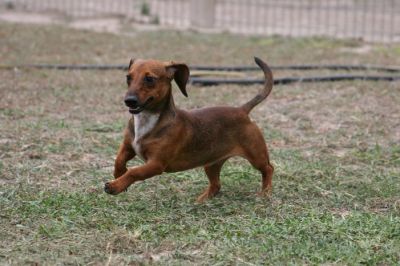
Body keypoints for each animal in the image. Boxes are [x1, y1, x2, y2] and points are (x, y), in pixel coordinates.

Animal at [104, 56, 276, 202]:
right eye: (128, 77)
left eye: (149, 79)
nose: (129, 101)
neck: (148, 120)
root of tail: (242, 110)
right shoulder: (129, 147)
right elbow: (119, 159)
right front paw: (118, 174)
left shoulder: (156, 164)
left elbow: (134, 172)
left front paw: (115, 185)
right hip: (211, 164)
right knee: (216, 185)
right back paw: (202, 200)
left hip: (256, 156)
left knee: (269, 168)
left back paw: (265, 192)